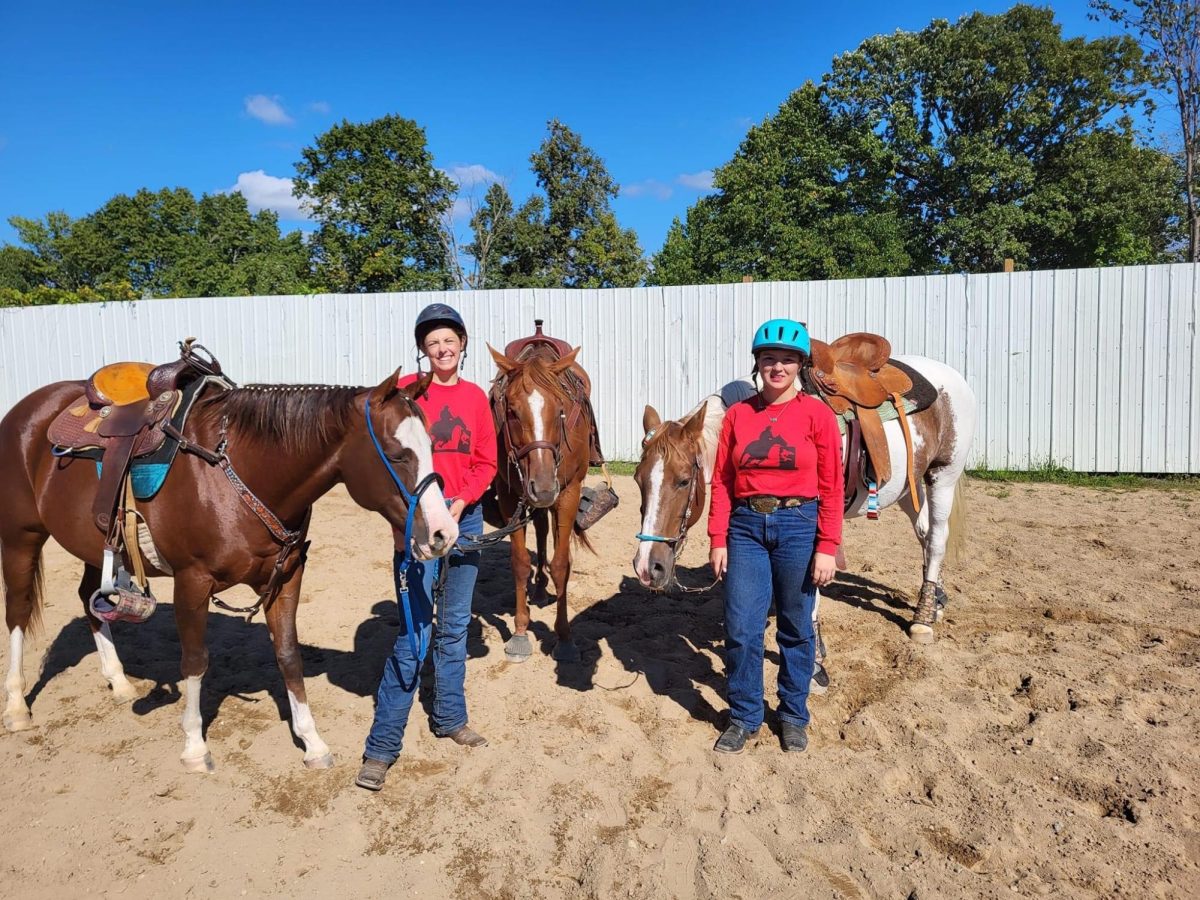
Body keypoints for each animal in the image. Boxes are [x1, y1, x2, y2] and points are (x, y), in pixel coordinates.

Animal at [0, 350, 458, 768]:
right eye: (396, 454)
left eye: (433, 447)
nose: (443, 533)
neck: (235, 474)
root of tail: (27, 410)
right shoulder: (192, 581)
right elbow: (195, 660)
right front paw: (194, 746)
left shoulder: (286, 577)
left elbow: (288, 654)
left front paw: (312, 743)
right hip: (21, 538)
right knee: (19, 611)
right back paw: (18, 706)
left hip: (96, 544)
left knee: (88, 599)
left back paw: (118, 680)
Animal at [484, 328, 600, 667]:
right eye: (511, 410)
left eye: (560, 409)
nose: (545, 486)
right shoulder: (510, 495)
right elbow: (520, 562)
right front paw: (521, 632)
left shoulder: (568, 492)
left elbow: (562, 565)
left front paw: (565, 639)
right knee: (540, 529)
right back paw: (537, 589)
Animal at [633, 340, 979, 643]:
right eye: (638, 480)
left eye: (683, 480)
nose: (647, 567)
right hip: (908, 483)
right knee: (925, 532)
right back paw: (936, 598)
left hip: (942, 476)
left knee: (936, 538)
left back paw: (923, 617)